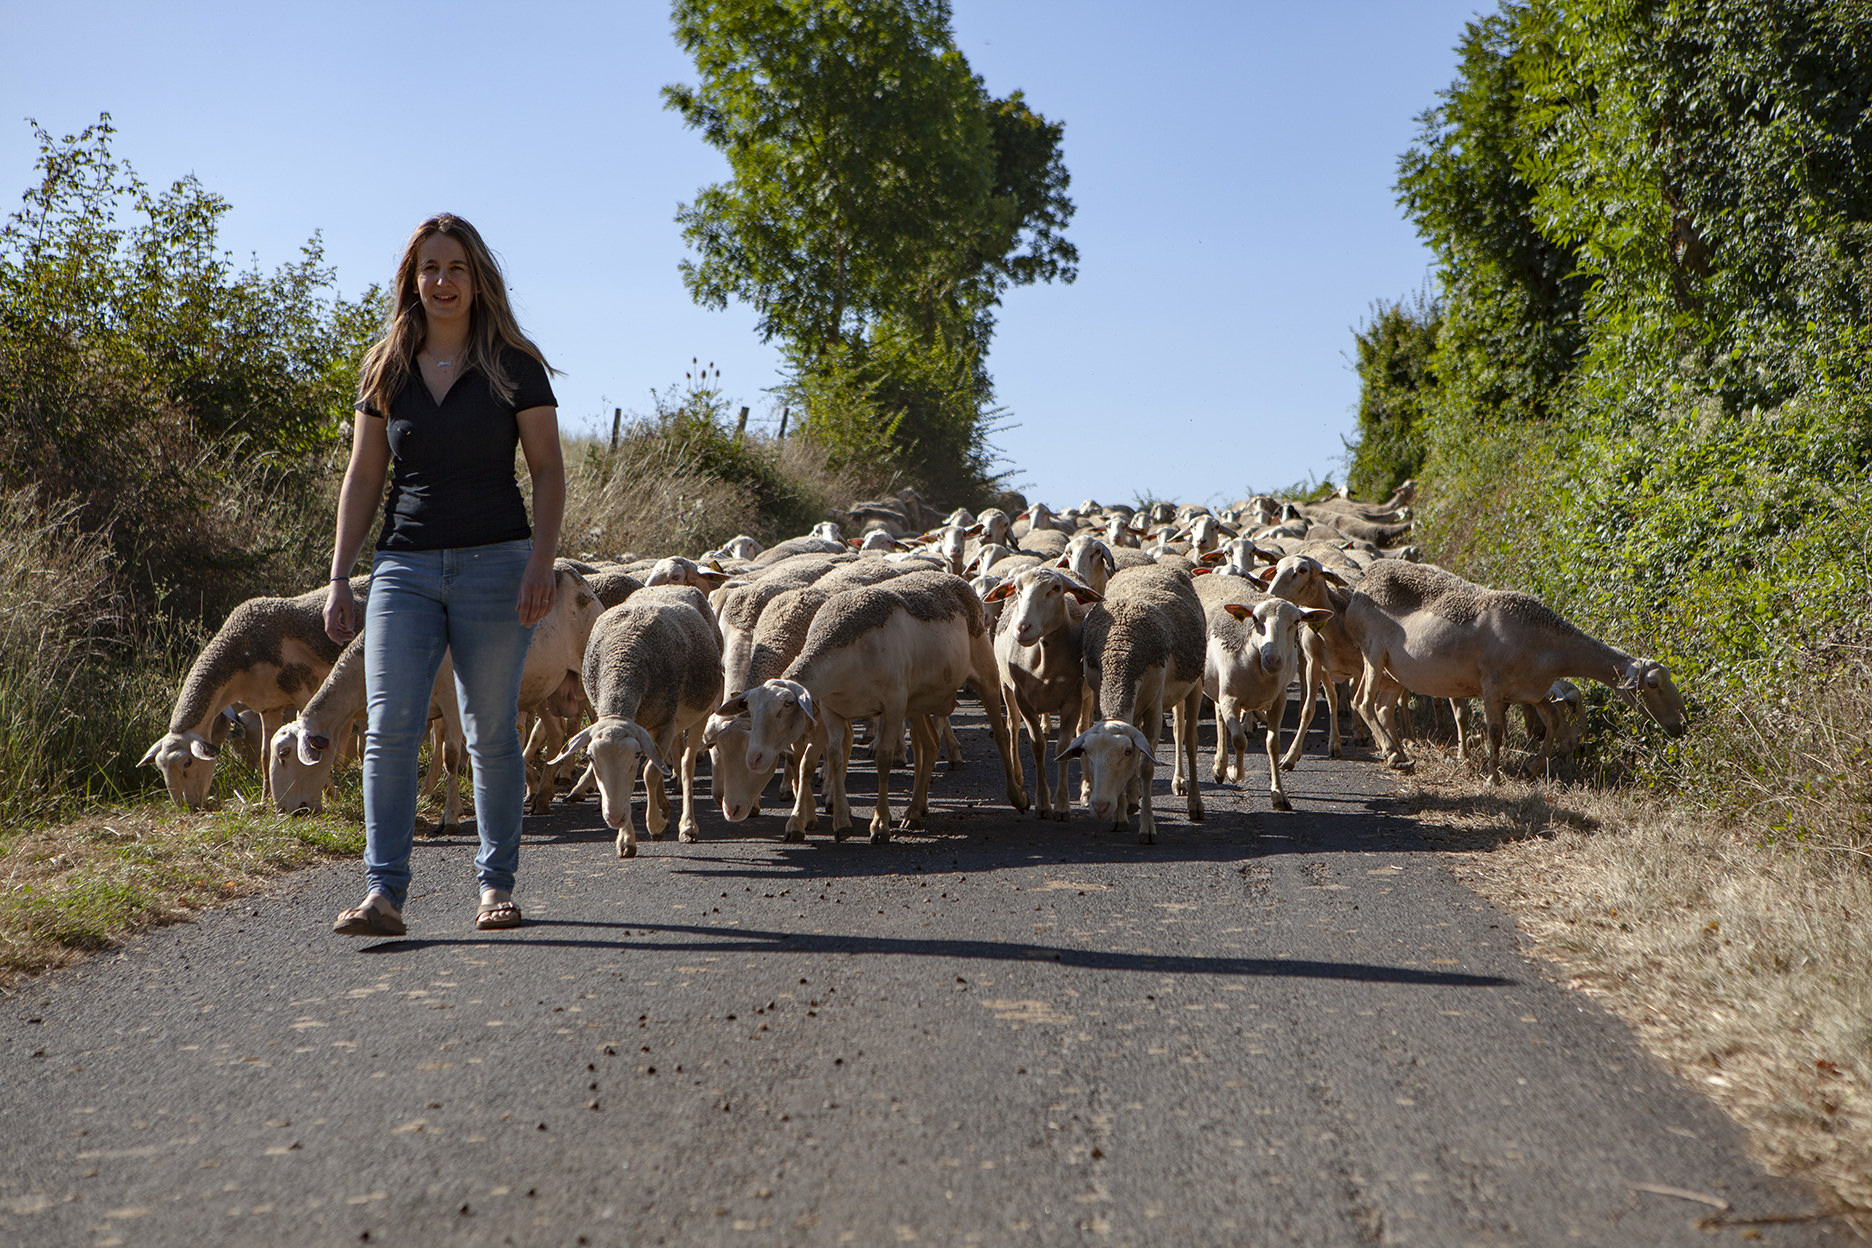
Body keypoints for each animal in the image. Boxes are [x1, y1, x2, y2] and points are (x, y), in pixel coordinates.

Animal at [138, 583, 361, 812]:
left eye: (187, 763)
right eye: (160, 766)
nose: (187, 807)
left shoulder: (302, 691)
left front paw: (330, 797)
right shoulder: (269, 706)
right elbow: (265, 755)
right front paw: (264, 800)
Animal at [546, 598, 722, 853]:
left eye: (636, 754)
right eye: (590, 757)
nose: (614, 817)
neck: (624, 658)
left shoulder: (664, 725)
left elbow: (650, 772)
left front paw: (655, 826)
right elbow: (641, 778)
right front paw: (626, 839)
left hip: (701, 711)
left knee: (686, 763)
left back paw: (687, 826)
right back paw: (664, 806)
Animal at [726, 572, 1025, 845]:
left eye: (787, 705)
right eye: (750, 709)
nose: (753, 758)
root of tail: (952, 578)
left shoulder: (892, 706)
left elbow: (882, 759)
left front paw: (879, 825)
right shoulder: (833, 711)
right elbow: (834, 757)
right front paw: (841, 824)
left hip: (985, 673)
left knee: (1000, 734)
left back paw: (1018, 796)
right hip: (917, 701)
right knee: (929, 745)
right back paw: (914, 812)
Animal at [980, 565, 1093, 819]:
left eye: (1056, 588)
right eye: (1018, 589)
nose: (1023, 628)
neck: (1044, 662)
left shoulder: (1072, 700)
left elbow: (1063, 747)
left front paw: (1062, 805)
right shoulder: (1023, 699)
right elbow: (1037, 745)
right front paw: (1042, 803)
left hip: (1089, 693)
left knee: (1083, 730)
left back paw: (1087, 789)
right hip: (1006, 687)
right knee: (1012, 725)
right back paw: (1018, 777)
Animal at [1340, 565, 1692, 782]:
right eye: (1653, 684)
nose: (1681, 727)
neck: (1551, 645)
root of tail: (1363, 584)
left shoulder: (1531, 691)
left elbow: (1552, 721)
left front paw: (1533, 766)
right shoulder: (1493, 686)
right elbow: (1496, 732)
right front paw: (1493, 778)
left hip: (1395, 673)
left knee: (1382, 708)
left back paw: (1398, 752)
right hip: (1372, 653)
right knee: (1363, 702)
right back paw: (1391, 754)